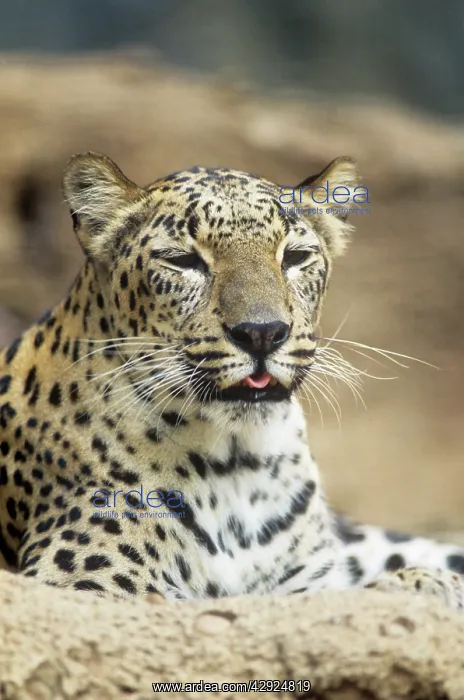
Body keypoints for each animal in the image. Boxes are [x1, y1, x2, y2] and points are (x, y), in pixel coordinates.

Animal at [1, 151, 463, 609]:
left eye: (295, 257)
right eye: (182, 260)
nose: (262, 333)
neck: (239, 466)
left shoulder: (309, 574)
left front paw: (431, 582)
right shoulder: (84, 581)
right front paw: (421, 585)